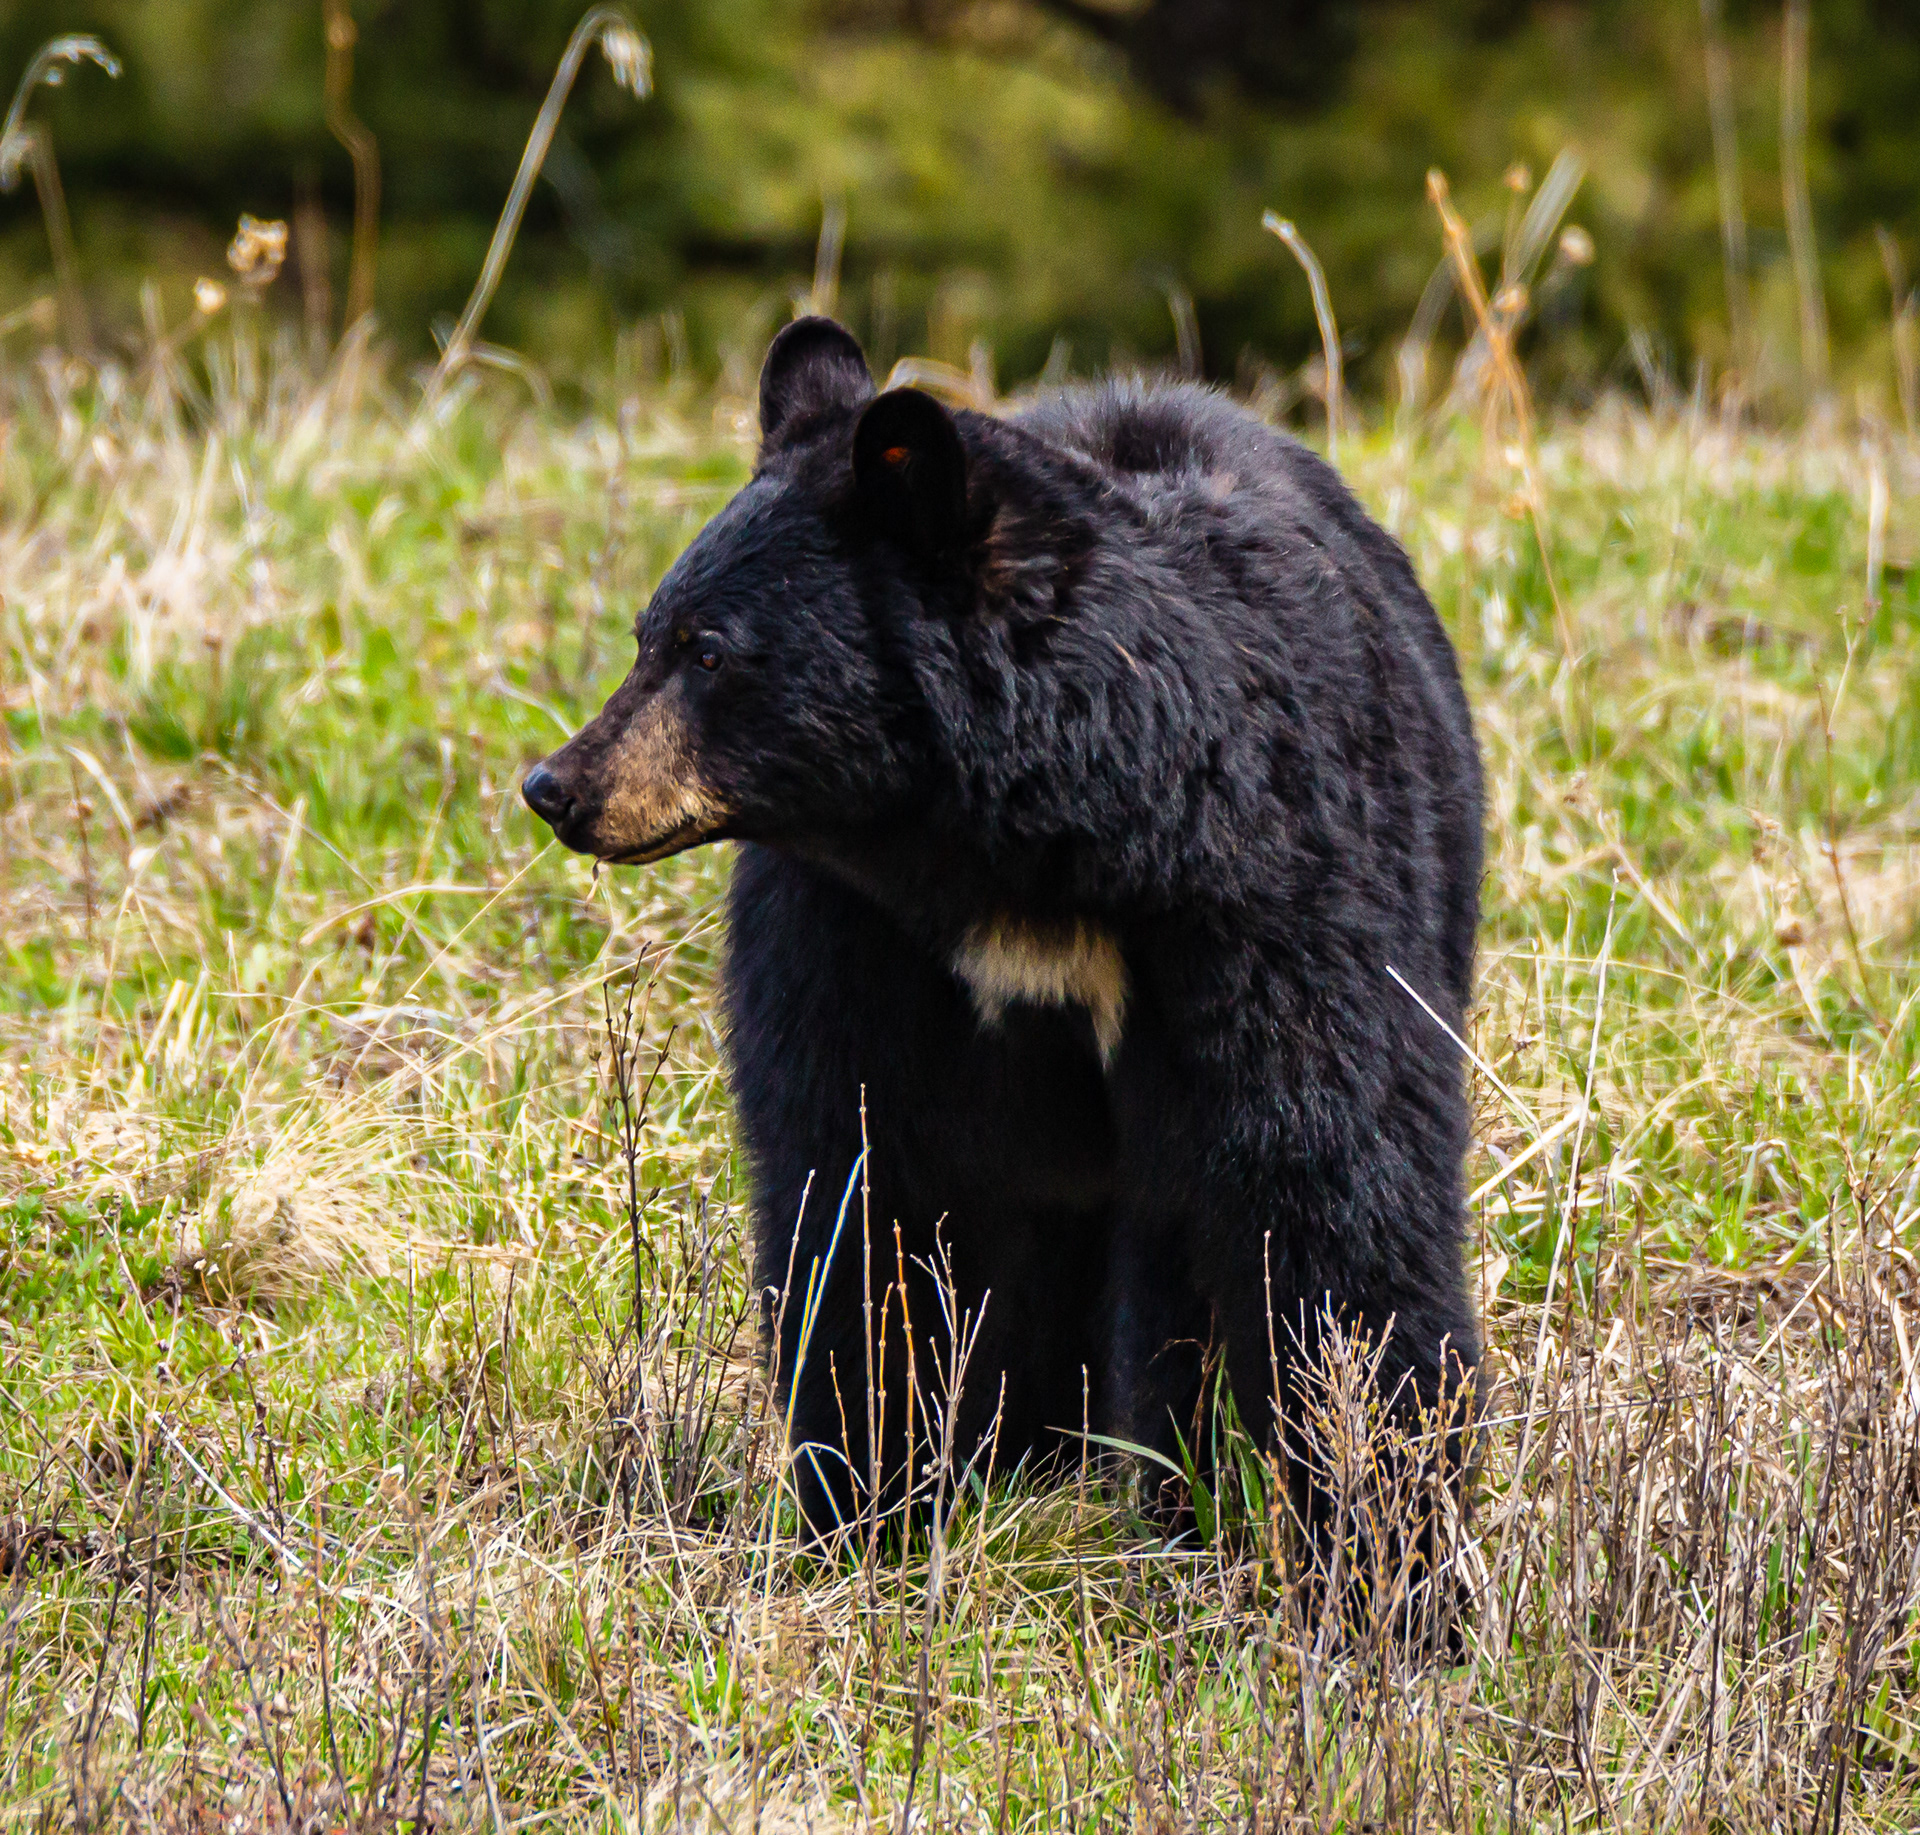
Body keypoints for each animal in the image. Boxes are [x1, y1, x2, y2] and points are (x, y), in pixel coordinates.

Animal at [522, 316, 1484, 1554]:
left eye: (711, 651)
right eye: (650, 633)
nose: (558, 786)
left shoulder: (1274, 887)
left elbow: (1329, 1184)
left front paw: (1384, 1544)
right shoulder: (851, 930)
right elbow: (864, 1182)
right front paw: (874, 1508)